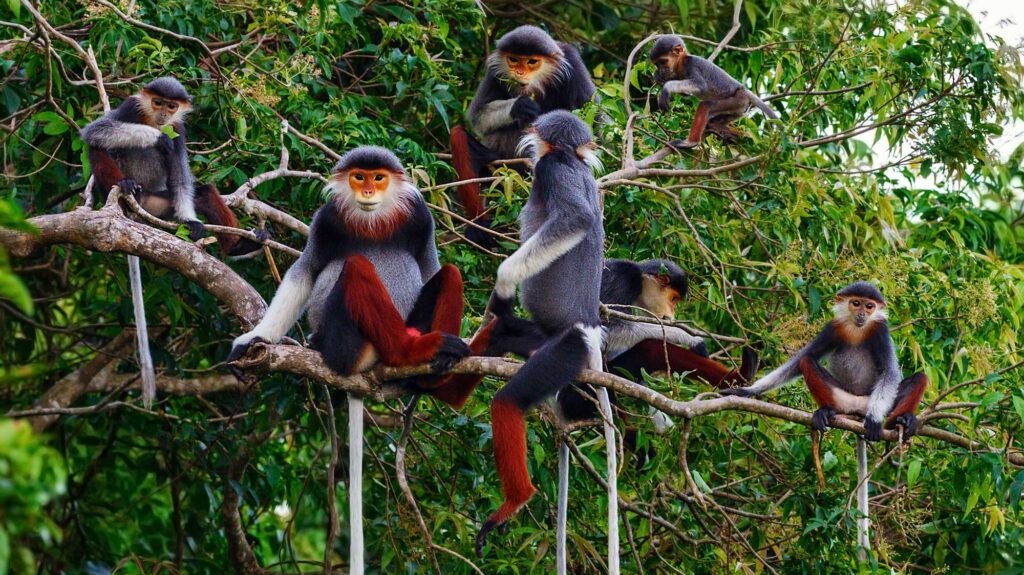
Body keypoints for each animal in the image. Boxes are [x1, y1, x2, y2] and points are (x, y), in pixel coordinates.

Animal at [80, 77, 268, 255]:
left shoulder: (178, 129)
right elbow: (95, 129)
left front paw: (191, 220)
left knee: (206, 193)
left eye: (171, 106)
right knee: (96, 146)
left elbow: (180, 178)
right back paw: (125, 184)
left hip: (157, 206)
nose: (163, 113)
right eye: (158, 102)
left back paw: (239, 247)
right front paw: (159, 138)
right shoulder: (131, 105)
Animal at [446, 25, 593, 246]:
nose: (519, 72)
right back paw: (479, 227)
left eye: (532, 62)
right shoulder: (494, 71)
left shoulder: (573, 63)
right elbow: (477, 116)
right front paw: (520, 105)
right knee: (458, 135)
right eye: (514, 60)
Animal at [720, 280, 929, 439]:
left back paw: (901, 421)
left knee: (920, 378)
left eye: (870, 306)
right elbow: (799, 361)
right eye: (856, 303)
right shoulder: (833, 328)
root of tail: (858, 409)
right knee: (807, 361)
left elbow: (889, 372)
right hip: (843, 399)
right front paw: (747, 391)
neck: (856, 330)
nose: (862, 313)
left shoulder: (880, 331)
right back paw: (827, 412)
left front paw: (875, 419)